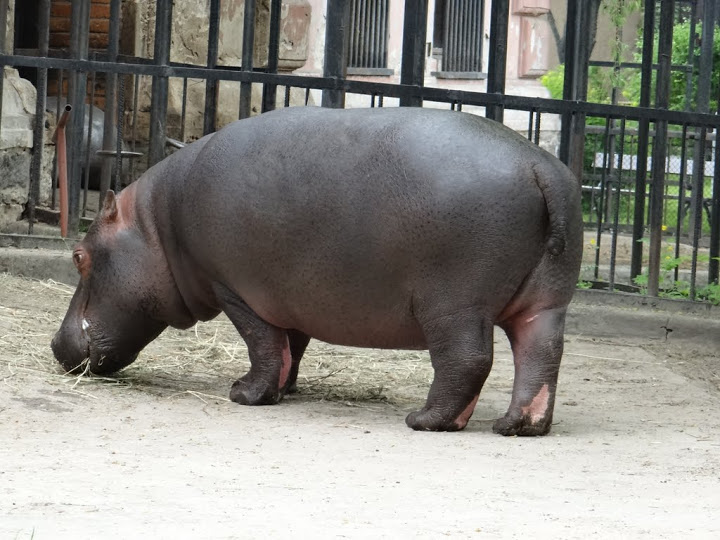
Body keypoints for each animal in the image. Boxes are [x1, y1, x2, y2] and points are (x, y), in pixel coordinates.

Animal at [51, 106, 582, 436]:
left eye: (79, 256)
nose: (56, 345)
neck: (156, 226)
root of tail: (540, 166)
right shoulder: (289, 295)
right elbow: (292, 346)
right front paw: (283, 391)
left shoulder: (236, 289)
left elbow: (263, 345)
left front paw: (244, 394)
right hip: (544, 304)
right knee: (542, 356)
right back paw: (518, 426)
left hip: (453, 304)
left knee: (468, 359)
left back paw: (426, 420)